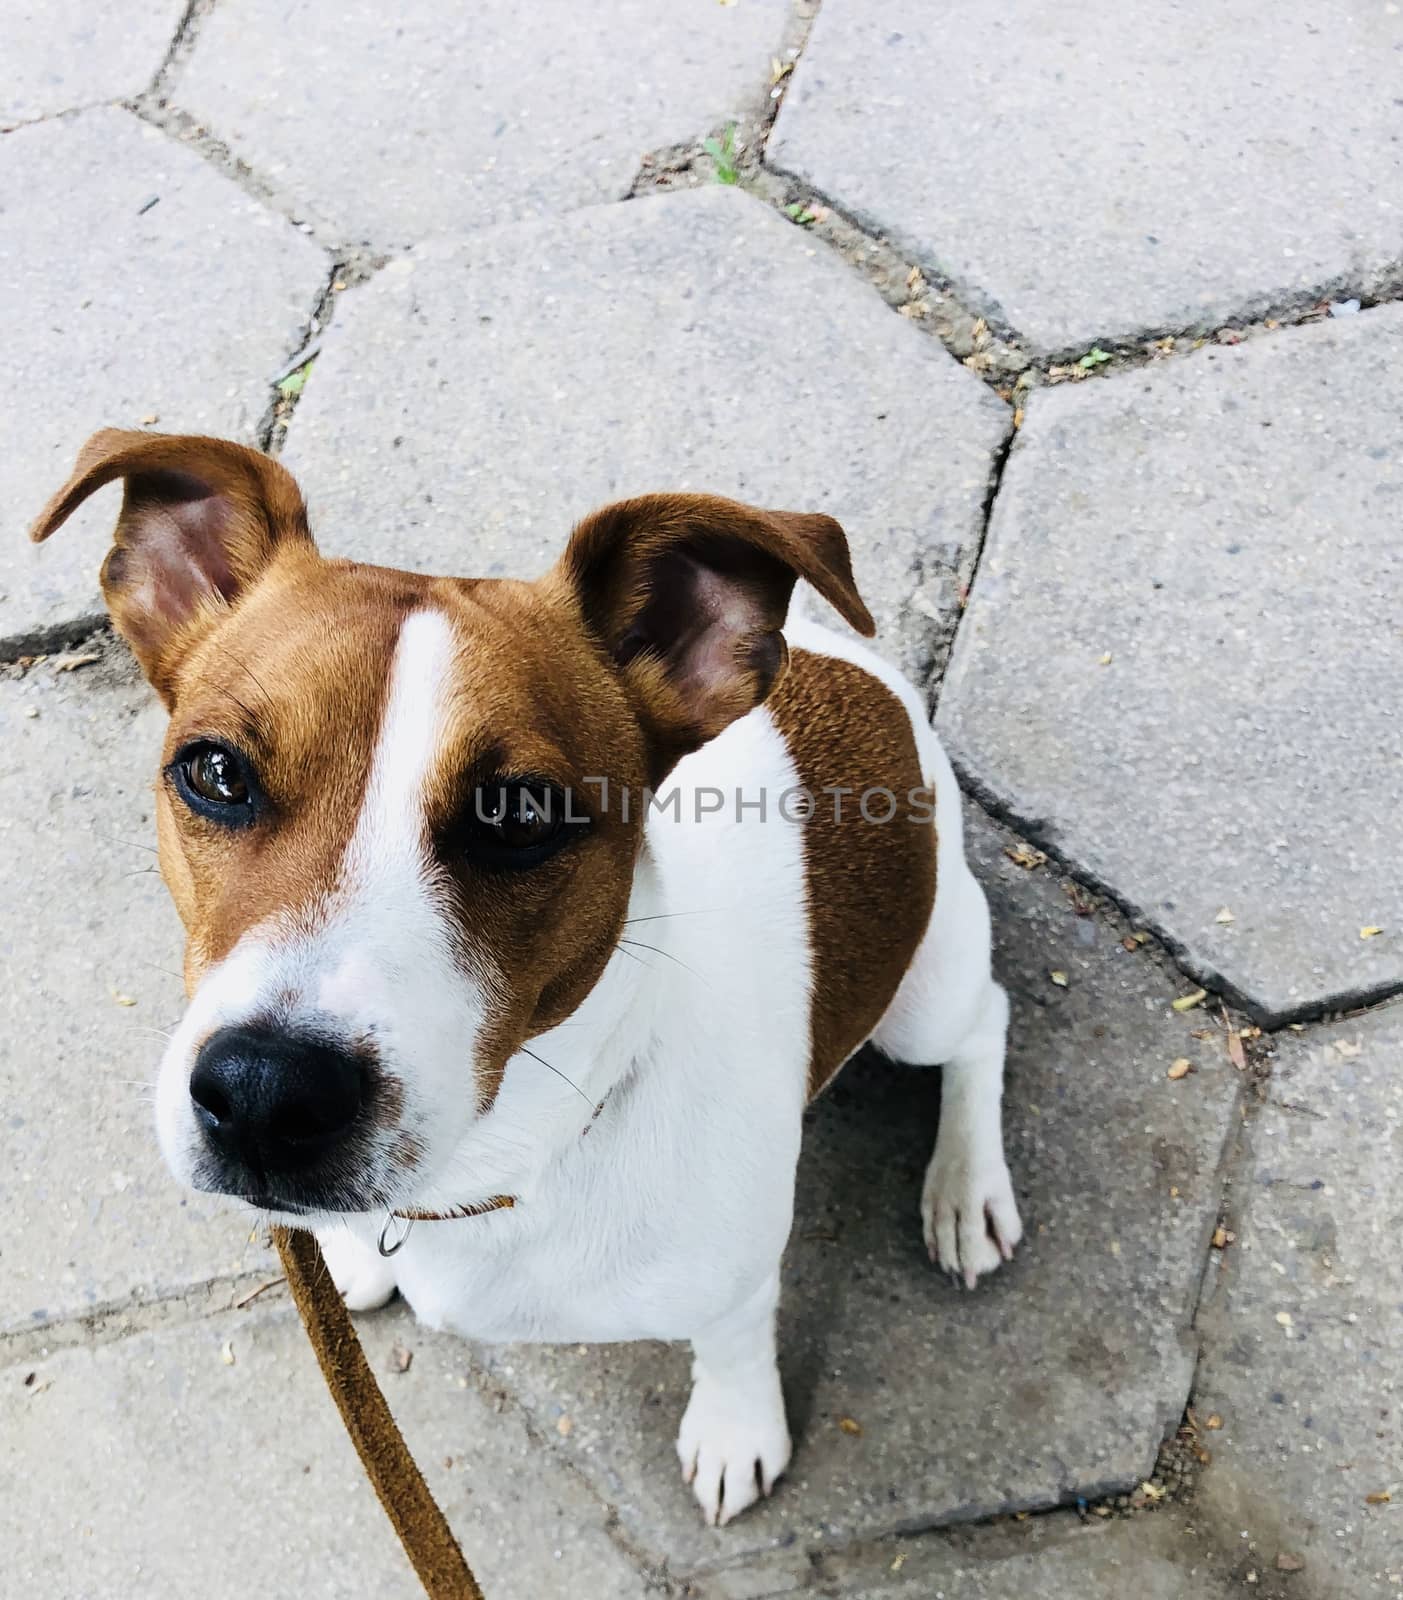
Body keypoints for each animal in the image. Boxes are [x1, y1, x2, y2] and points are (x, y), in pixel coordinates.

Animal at [30, 432, 1017, 1529]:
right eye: (214, 773)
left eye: (518, 816)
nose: (263, 1095)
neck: (494, 1171)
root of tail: (849, 662)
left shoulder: (736, 1273)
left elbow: (733, 1340)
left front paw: (734, 1427)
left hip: (922, 993)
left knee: (984, 1023)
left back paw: (966, 1187)